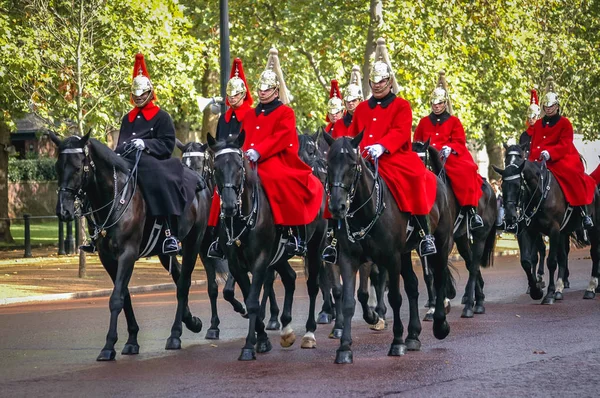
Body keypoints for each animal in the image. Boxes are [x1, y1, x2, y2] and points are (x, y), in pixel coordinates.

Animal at [52, 131, 211, 360]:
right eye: (57, 166)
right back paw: (191, 321)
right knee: (179, 275)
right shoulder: (108, 258)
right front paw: (132, 340)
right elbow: (124, 295)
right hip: (164, 252)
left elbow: (117, 298)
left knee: (183, 284)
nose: (63, 211)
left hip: (193, 243)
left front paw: (109, 345)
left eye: (77, 167)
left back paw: (175, 334)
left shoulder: (127, 253)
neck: (114, 198)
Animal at [206, 132, 328, 360]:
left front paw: (250, 345)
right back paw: (287, 329)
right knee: (290, 278)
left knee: (312, 286)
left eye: (239, 166)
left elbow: (254, 300)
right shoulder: (236, 264)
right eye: (216, 167)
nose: (229, 206)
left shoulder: (260, 260)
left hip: (315, 249)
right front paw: (261, 338)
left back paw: (309, 333)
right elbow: (243, 295)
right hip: (279, 257)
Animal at [322, 133, 452, 364]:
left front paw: (397, 342)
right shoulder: (348, 259)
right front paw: (344, 347)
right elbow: (349, 301)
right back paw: (413, 335)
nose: (337, 206)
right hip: (406, 253)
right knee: (412, 285)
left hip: (440, 242)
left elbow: (394, 298)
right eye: (328, 164)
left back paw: (439, 324)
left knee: (438, 277)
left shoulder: (391, 258)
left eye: (353, 165)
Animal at [412, 140, 496, 318]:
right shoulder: (421, 245)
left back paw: (470, 306)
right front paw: (433, 306)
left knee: (473, 267)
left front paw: (442, 302)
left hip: (480, 236)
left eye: (422, 161)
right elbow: (428, 274)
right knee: (470, 262)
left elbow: (440, 270)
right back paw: (478, 300)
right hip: (462, 239)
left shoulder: (446, 240)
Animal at [492, 145, 600, 304]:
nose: (511, 217)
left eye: (518, 185)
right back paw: (560, 289)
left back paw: (591, 288)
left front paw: (548, 293)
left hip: (594, 228)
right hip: (564, 232)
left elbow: (551, 262)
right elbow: (527, 260)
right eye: (503, 185)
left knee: (594, 253)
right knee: (563, 256)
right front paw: (535, 290)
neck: (538, 194)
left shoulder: (553, 230)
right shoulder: (528, 231)